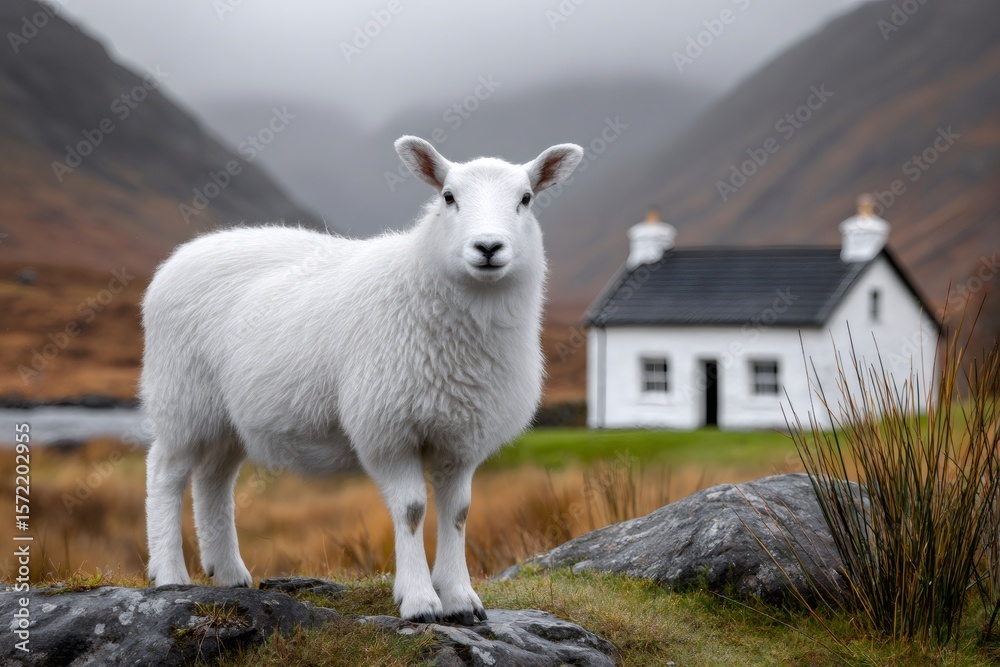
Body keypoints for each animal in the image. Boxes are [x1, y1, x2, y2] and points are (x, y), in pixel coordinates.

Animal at [142, 136, 584, 624]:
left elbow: (458, 513)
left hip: (228, 416)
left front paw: (460, 598)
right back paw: (170, 574)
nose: (488, 247)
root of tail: (184, 253)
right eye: (448, 197)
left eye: (525, 199)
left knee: (212, 482)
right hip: (183, 398)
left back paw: (229, 573)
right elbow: (411, 511)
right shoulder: (388, 429)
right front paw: (420, 601)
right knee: (166, 475)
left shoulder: (461, 434)